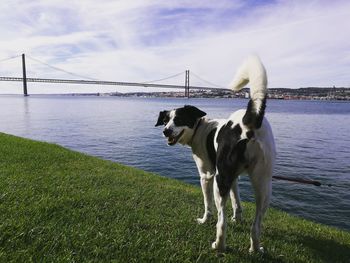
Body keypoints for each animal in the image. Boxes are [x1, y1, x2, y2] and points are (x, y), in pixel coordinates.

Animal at [156, 55, 276, 254]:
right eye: (166, 120)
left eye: (178, 119)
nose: (166, 131)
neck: (200, 128)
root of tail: (248, 122)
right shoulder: (233, 177)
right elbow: (237, 201)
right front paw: (238, 218)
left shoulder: (207, 175)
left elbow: (208, 204)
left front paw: (204, 220)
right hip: (263, 184)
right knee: (256, 224)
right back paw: (255, 249)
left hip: (220, 182)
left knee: (221, 221)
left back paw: (219, 246)